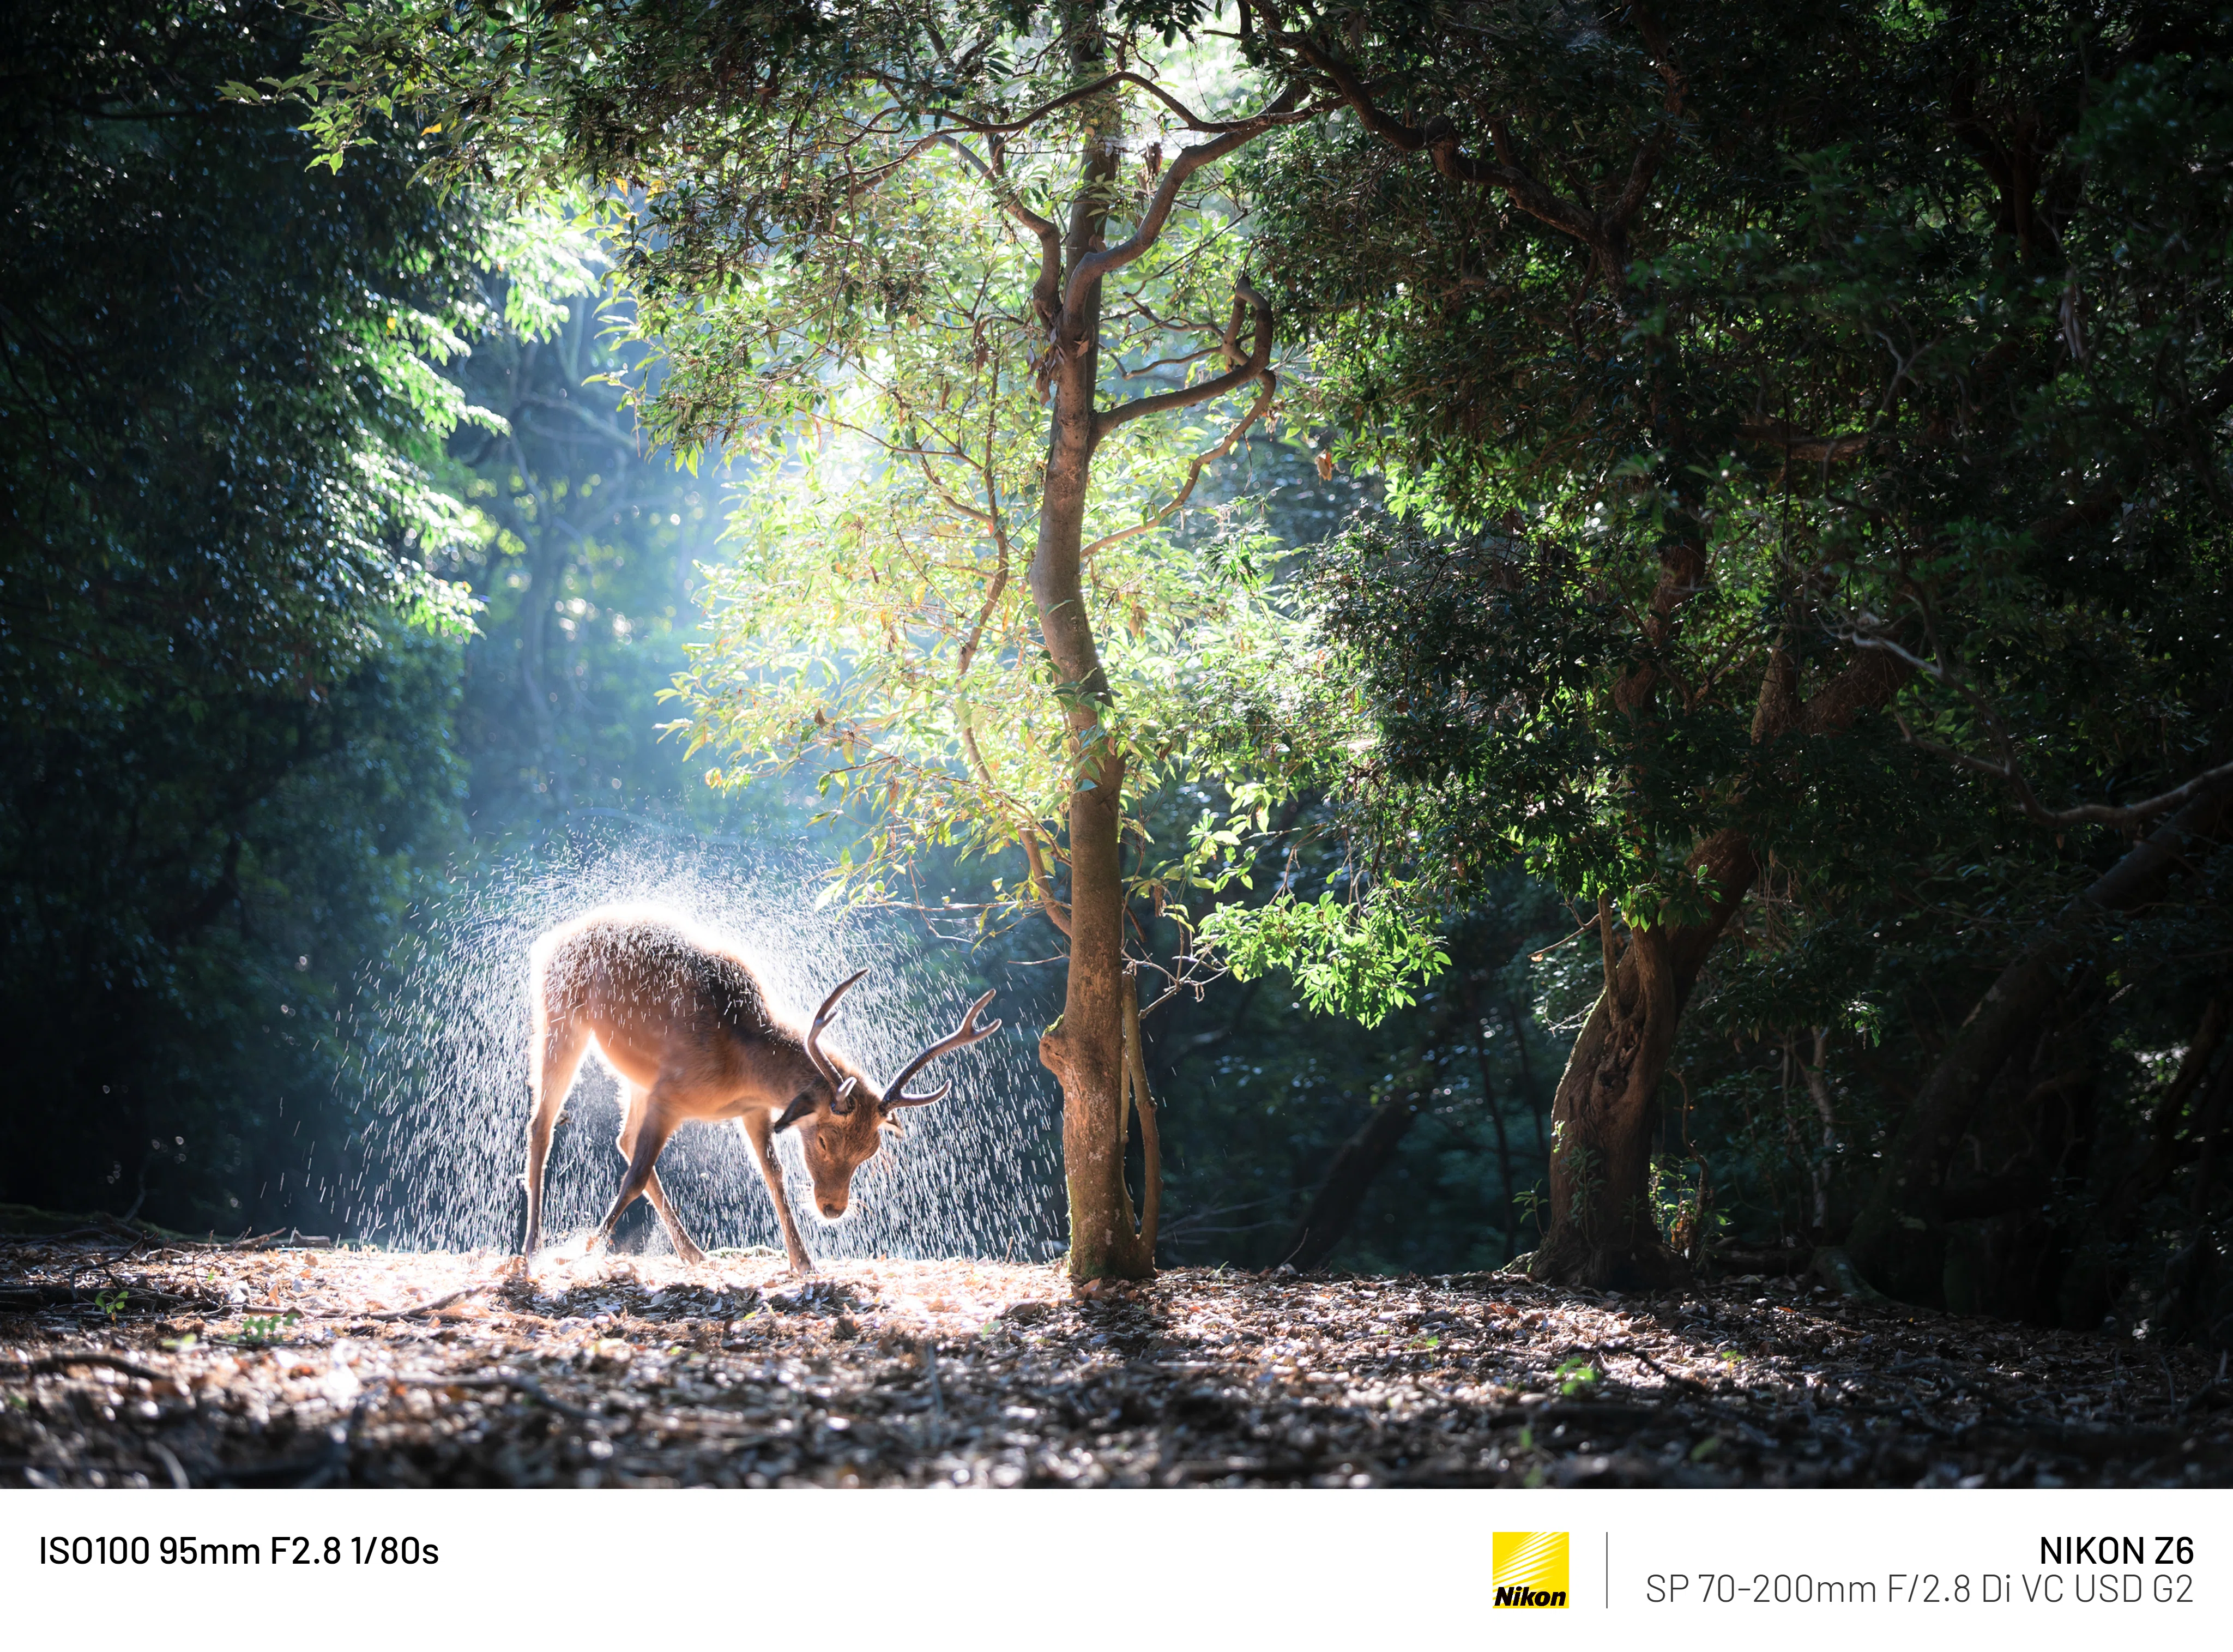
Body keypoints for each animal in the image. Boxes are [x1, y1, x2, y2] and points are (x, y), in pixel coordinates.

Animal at [520, 905, 1000, 1276]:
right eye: (824, 1140)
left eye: (871, 1150)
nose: (833, 1209)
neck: (739, 1063)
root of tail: (554, 937)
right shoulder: (668, 1096)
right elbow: (635, 1177)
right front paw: (580, 1253)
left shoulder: (752, 1112)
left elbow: (775, 1177)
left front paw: (804, 1262)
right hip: (559, 1015)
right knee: (542, 1124)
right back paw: (532, 1249)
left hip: (633, 1076)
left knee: (621, 1137)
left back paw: (695, 1253)